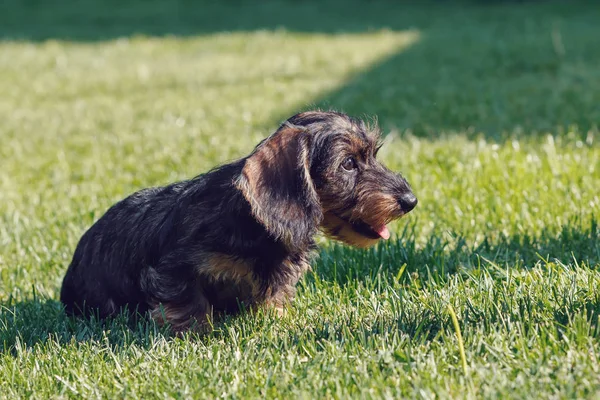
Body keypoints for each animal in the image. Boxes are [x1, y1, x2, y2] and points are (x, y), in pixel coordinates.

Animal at [61, 110, 418, 332]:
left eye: (372, 154)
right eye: (347, 164)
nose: (410, 200)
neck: (256, 228)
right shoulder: (174, 269)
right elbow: (188, 304)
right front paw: (196, 336)